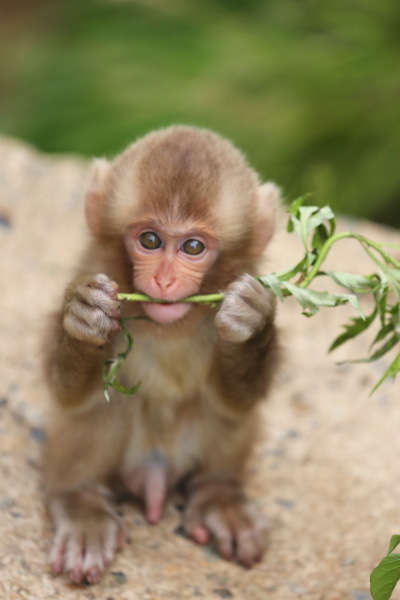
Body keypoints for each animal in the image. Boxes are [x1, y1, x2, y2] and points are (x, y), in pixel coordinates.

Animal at [43, 125, 280, 580]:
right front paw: (83, 317)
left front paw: (251, 319)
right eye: (149, 240)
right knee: (107, 404)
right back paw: (79, 504)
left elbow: (239, 400)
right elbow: (67, 392)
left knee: (220, 412)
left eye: (193, 247)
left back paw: (219, 493)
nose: (165, 281)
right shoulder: (93, 267)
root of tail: (155, 472)